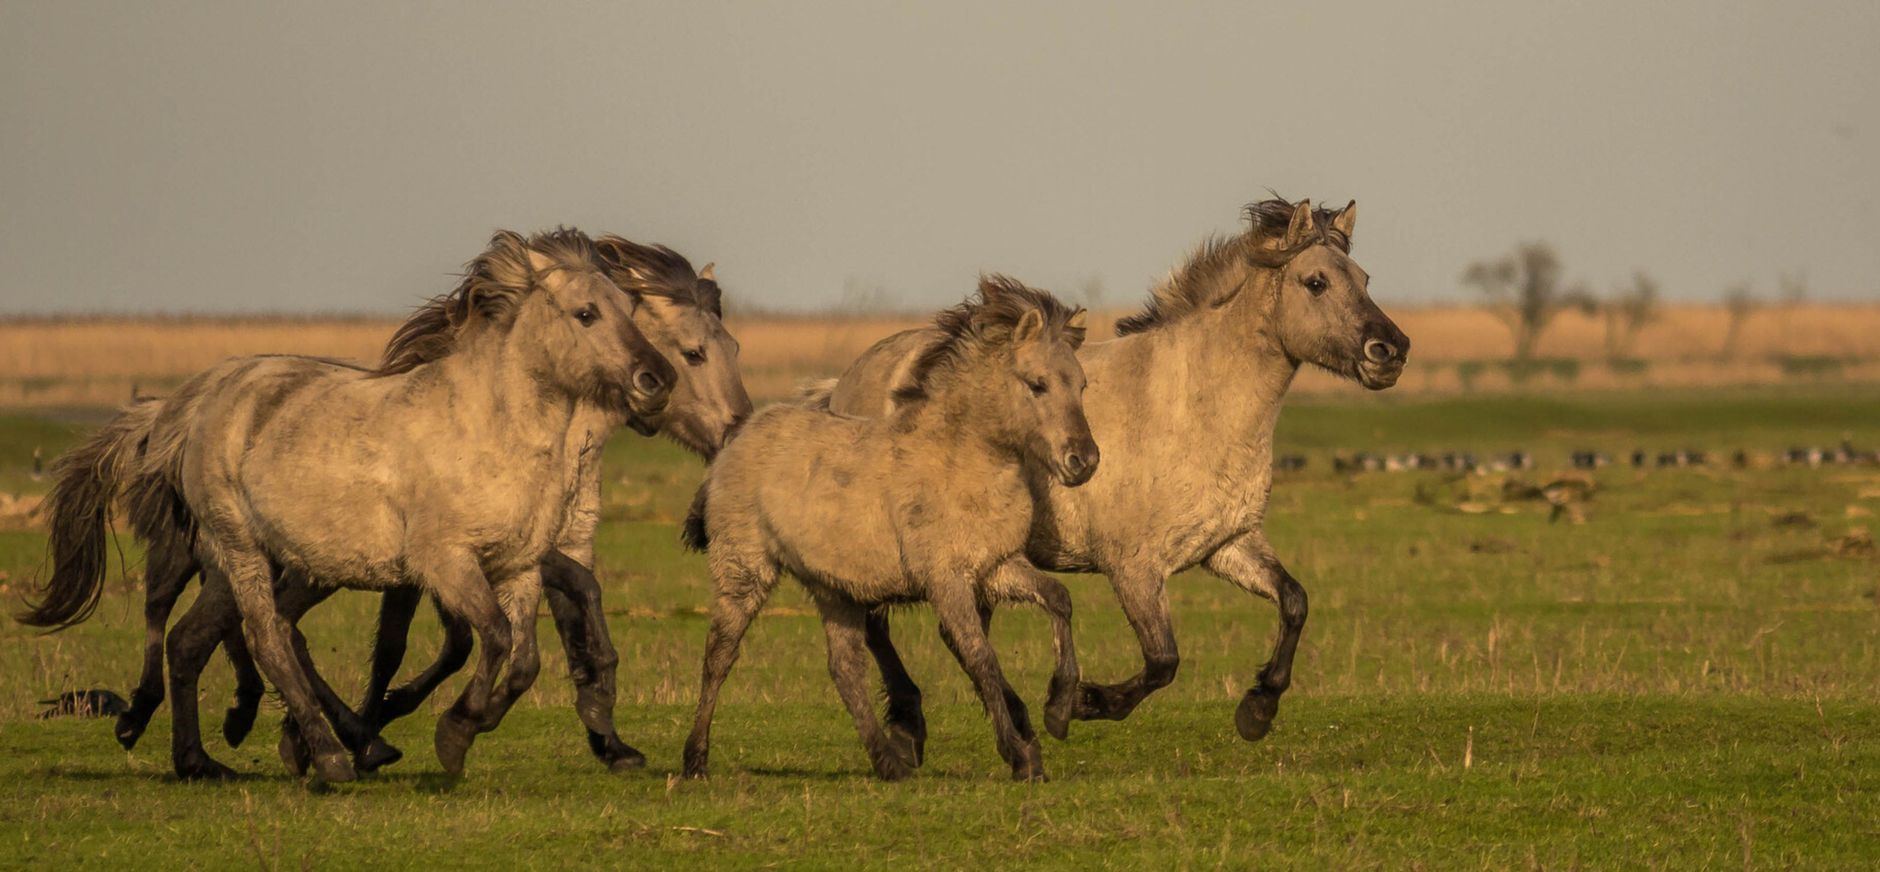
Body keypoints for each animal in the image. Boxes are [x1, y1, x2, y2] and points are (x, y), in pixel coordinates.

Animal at [19, 228, 674, 783]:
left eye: (630, 309)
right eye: (585, 313)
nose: (658, 379)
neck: (487, 430)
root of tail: (197, 399)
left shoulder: (518, 564)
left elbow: (524, 661)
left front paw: (470, 728)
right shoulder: (446, 563)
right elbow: (489, 638)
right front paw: (453, 734)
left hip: (270, 562)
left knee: (194, 640)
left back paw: (202, 761)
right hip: (240, 548)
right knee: (266, 637)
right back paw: (332, 755)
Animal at [681, 276, 1095, 782]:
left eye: (1082, 384)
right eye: (1037, 384)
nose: (1084, 460)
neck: (959, 461)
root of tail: (732, 446)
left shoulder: (995, 567)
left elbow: (1059, 599)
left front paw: (1058, 711)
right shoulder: (946, 581)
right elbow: (980, 657)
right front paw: (1020, 756)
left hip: (831, 589)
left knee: (845, 667)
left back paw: (888, 760)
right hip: (744, 569)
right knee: (719, 655)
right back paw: (695, 760)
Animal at [813, 198, 1408, 754]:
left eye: (1364, 279)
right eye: (1316, 282)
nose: (1391, 351)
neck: (1193, 405)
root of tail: (847, 383)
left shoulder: (1227, 544)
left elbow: (1294, 601)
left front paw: (1257, 710)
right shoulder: (1134, 568)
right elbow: (1163, 660)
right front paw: (1080, 704)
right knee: (878, 624)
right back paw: (912, 725)